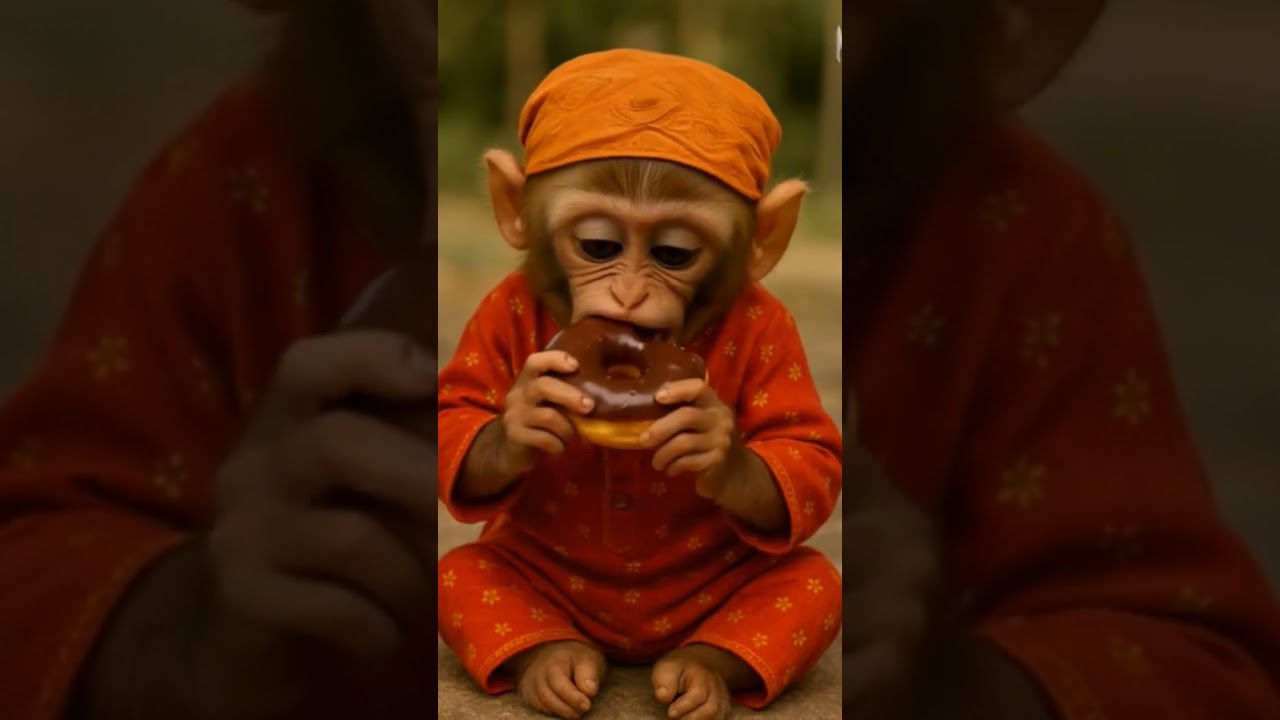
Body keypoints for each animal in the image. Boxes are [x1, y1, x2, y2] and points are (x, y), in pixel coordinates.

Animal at [436, 49, 843, 720]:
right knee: (467, 572)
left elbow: (805, 453)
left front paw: (713, 438)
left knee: (807, 584)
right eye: (598, 245)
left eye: (674, 254)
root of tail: (631, 647)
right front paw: (524, 414)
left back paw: (697, 674)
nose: (628, 297)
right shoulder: (497, 312)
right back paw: (555, 665)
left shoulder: (776, 330)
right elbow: (456, 414)